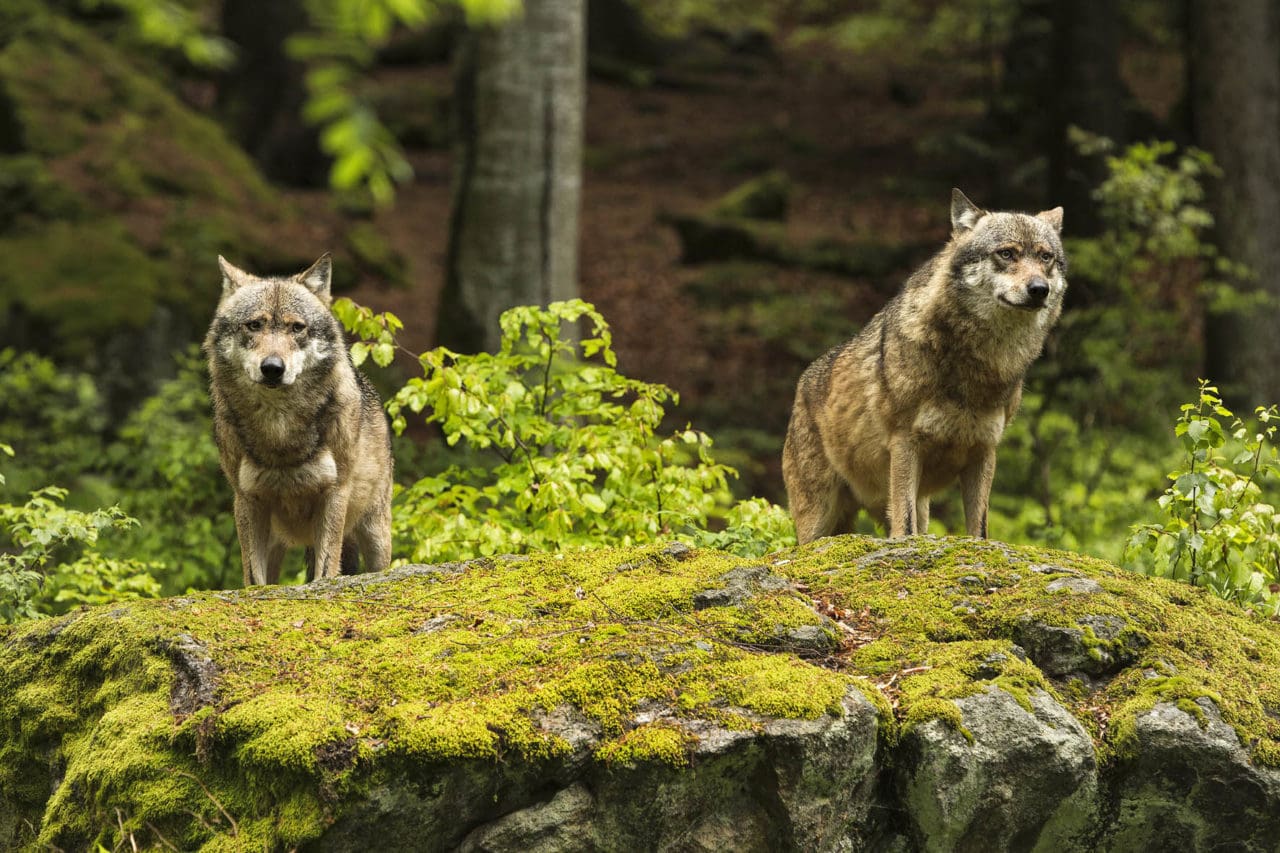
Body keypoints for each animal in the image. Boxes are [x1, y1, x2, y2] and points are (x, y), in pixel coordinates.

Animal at [202, 253, 391, 584]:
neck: (280, 429)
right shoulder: (246, 499)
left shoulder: (335, 493)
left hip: (375, 535)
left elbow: (326, 570)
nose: (273, 368)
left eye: (297, 328)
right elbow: (254, 579)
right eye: (254, 325)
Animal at [778, 189, 1070, 540]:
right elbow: (905, 529)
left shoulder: (985, 451)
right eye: (1007, 254)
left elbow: (979, 530)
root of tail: (801, 384)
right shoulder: (905, 443)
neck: (978, 365)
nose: (1039, 289)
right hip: (818, 521)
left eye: (1045, 257)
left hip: (918, 507)